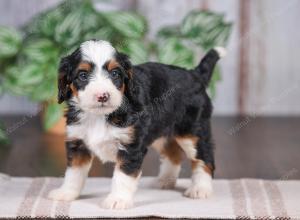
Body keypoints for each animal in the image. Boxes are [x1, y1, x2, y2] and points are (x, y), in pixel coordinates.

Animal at [48, 39, 226, 210]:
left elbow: (122, 176)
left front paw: (117, 200)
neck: (100, 116)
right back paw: (166, 180)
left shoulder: (130, 146)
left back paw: (200, 189)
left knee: (204, 157)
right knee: (173, 153)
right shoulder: (77, 142)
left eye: (115, 73)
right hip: (160, 130)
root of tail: (194, 74)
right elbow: (74, 173)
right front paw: (66, 193)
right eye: (83, 75)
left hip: (192, 132)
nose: (103, 96)